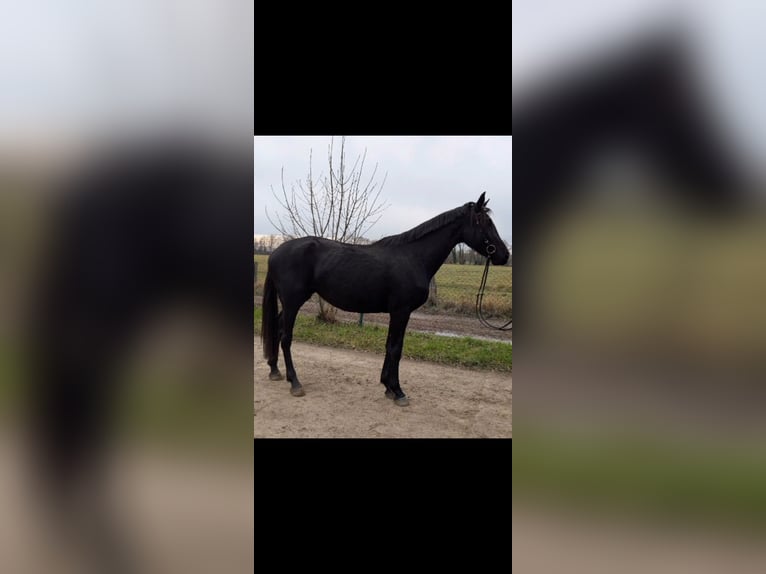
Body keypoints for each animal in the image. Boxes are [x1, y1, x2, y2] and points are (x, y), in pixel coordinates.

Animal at [261, 192, 509, 406]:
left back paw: (275, 370)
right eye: (485, 222)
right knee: (286, 336)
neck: (413, 257)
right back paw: (295, 383)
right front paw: (398, 391)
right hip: (293, 301)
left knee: (277, 328)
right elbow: (396, 349)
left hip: (290, 303)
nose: (504, 255)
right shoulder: (401, 311)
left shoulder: (396, 313)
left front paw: (388, 387)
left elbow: (390, 345)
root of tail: (275, 253)